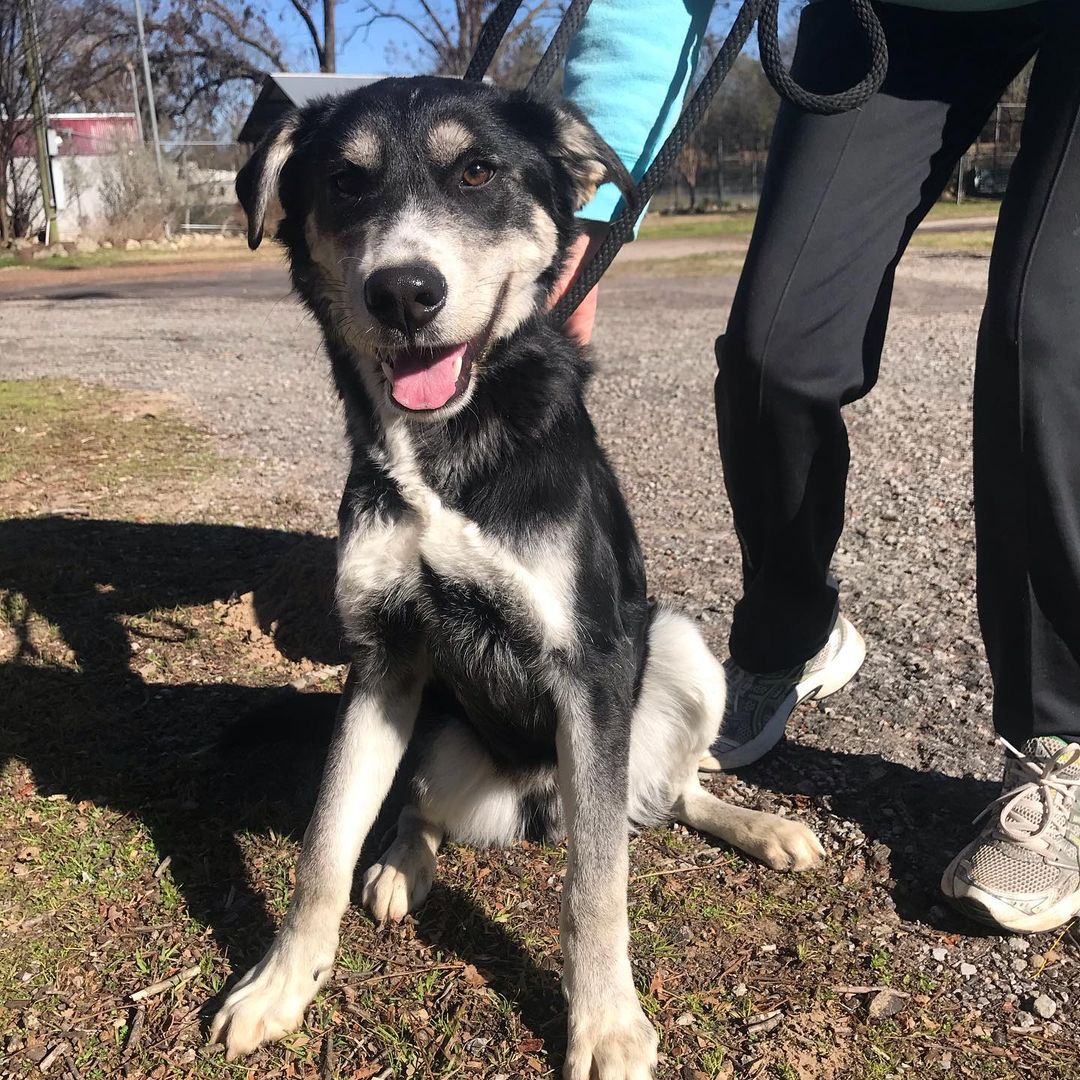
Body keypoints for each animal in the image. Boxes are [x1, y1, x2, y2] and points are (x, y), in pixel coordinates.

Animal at [208, 78, 816, 1080]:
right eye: (344, 181)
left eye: (477, 172)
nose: (403, 292)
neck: (447, 445)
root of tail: (540, 804)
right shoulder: (384, 660)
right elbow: (325, 844)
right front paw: (280, 983)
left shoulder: (591, 670)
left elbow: (597, 888)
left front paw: (607, 1025)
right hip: (441, 731)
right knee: (420, 809)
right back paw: (400, 865)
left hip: (678, 651)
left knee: (668, 791)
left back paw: (764, 828)